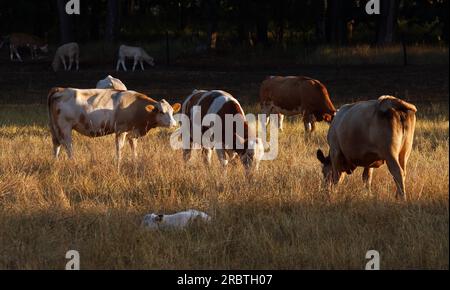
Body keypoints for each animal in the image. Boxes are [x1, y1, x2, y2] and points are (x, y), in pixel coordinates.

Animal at [47, 87, 181, 169]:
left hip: (54, 128)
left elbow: (133, 146)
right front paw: (118, 163)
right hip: (65, 127)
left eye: (172, 111)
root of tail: (60, 89)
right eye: (161, 112)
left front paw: (135, 161)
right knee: (68, 146)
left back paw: (55, 163)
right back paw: (73, 163)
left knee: (56, 145)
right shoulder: (121, 130)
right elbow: (119, 148)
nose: (173, 124)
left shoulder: (133, 131)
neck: (135, 106)